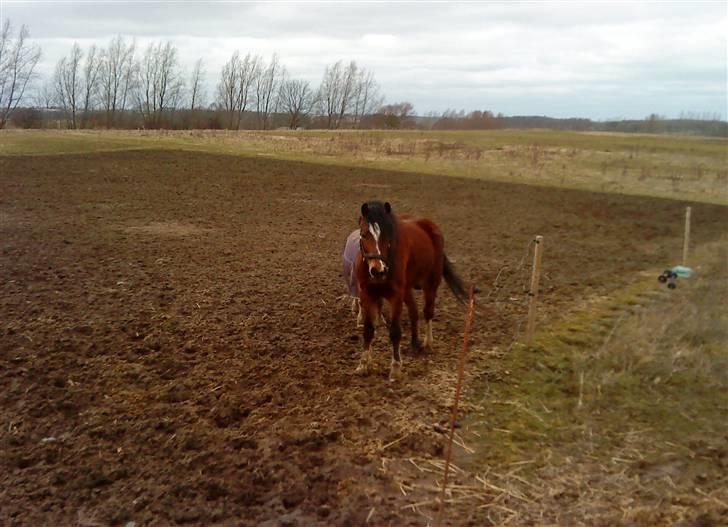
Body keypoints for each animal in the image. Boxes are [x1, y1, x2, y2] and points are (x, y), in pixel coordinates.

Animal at [356, 201, 470, 380]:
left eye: (388, 236)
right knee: (414, 312)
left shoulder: (395, 297)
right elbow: (368, 330)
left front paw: (395, 368)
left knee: (428, 312)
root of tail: (428, 225)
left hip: (431, 284)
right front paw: (363, 365)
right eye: (363, 234)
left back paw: (427, 343)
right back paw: (415, 342)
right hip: (407, 289)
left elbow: (395, 332)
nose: (378, 270)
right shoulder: (367, 295)